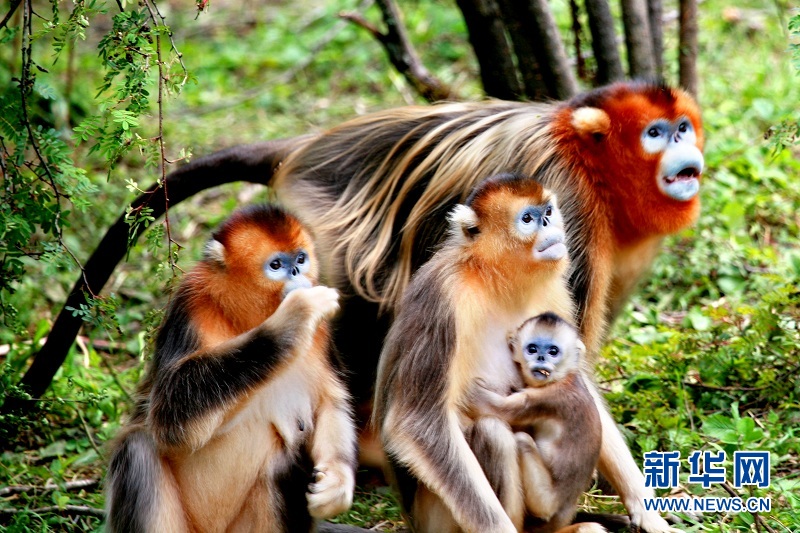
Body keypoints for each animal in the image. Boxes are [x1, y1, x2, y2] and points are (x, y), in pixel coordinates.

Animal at [106, 205, 356, 532]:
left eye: (301, 259)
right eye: (276, 265)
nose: (298, 273)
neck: (244, 321)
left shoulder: (322, 334)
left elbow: (330, 403)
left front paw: (337, 482)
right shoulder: (192, 308)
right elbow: (169, 417)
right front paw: (295, 317)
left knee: (286, 463)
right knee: (137, 450)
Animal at [472, 312, 604, 532]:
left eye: (553, 351)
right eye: (532, 349)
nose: (541, 358)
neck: (565, 377)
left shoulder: (549, 398)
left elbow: (499, 409)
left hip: (545, 501)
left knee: (522, 439)